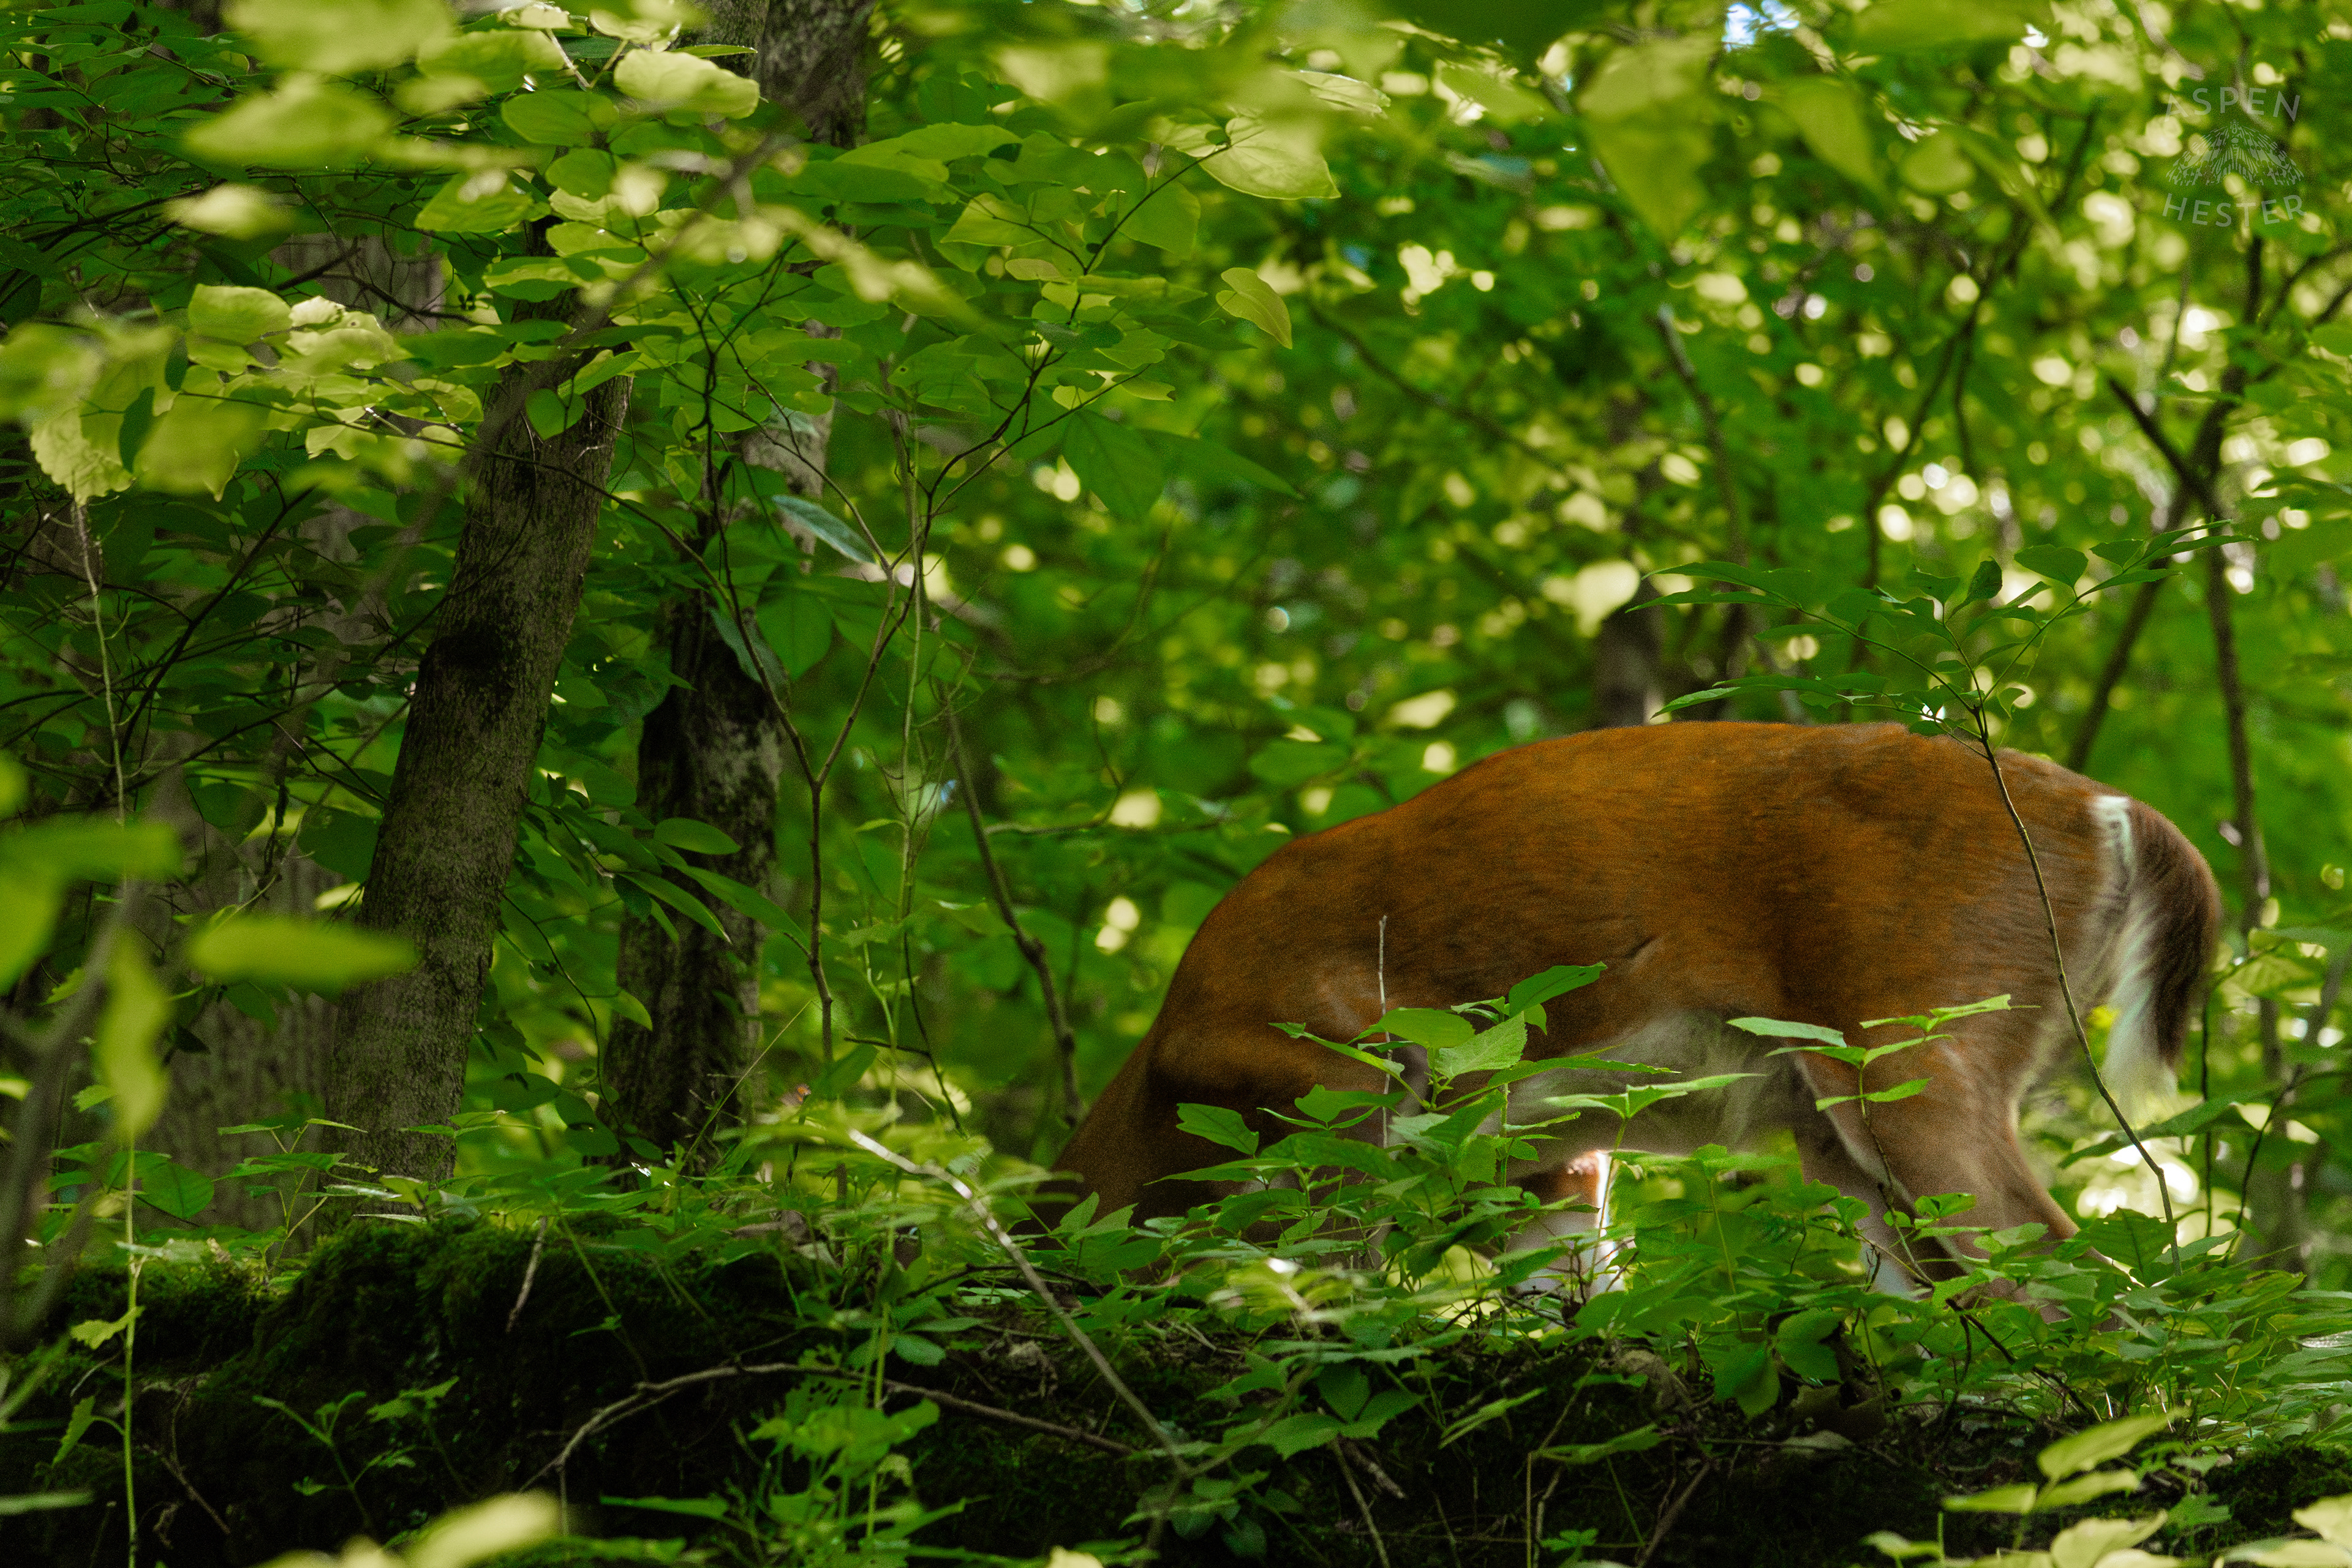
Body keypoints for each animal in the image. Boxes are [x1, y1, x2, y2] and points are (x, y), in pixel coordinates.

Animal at [1053, 721, 2220, 1285]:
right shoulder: (1544, 1159)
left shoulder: (1335, 1070)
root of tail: (2107, 806)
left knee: (2065, 1269)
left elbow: (1325, 1268)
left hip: (1912, 1033)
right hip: (1842, 1123)